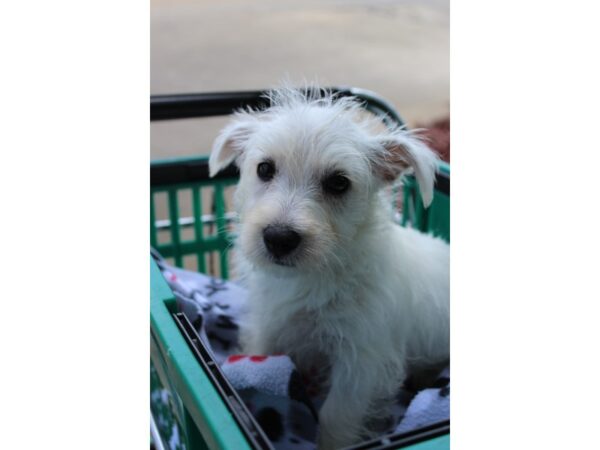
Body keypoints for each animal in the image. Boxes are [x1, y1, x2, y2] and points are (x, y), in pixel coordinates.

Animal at [209, 89, 448, 450]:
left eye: (338, 183)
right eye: (264, 169)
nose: (278, 238)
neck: (313, 276)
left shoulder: (360, 362)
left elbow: (336, 417)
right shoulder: (271, 323)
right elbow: (259, 354)